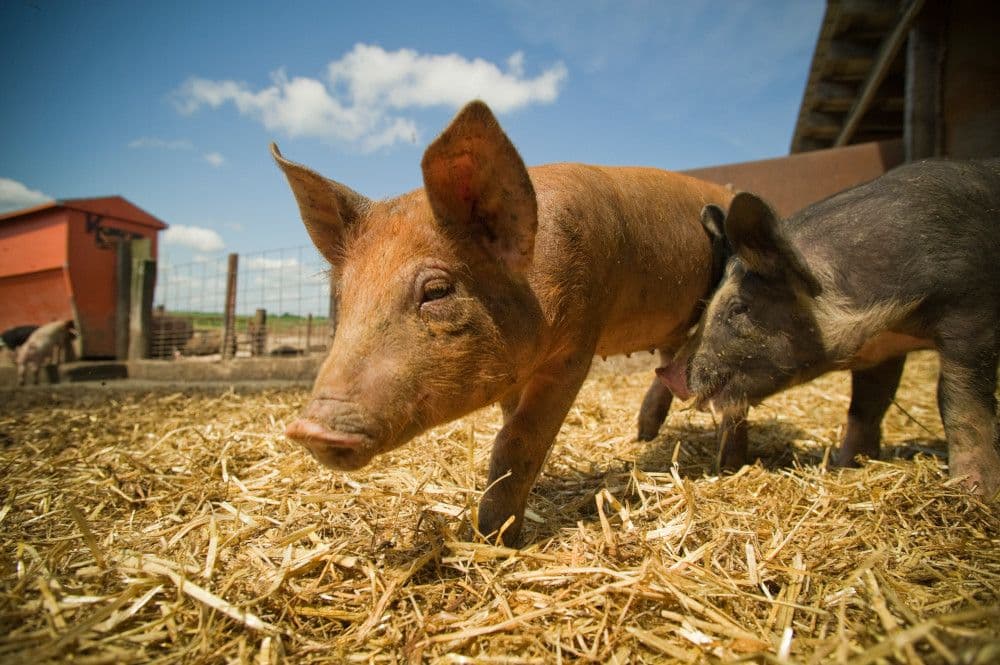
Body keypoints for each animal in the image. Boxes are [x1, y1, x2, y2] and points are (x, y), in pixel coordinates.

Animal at [277, 100, 736, 544]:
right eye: (343, 297)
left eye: (438, 290)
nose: (309, 427)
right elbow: (507, 429)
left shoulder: (577, 346)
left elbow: (517, 438)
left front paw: (496, 538)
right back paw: (642, 436)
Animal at [682, 158, 1000, 496]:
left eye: (738, 308)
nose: (681, 377)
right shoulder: (882, 350)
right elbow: (865, 406)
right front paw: (845, 465)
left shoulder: (972, 311)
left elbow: (959, 401)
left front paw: (975, 492)